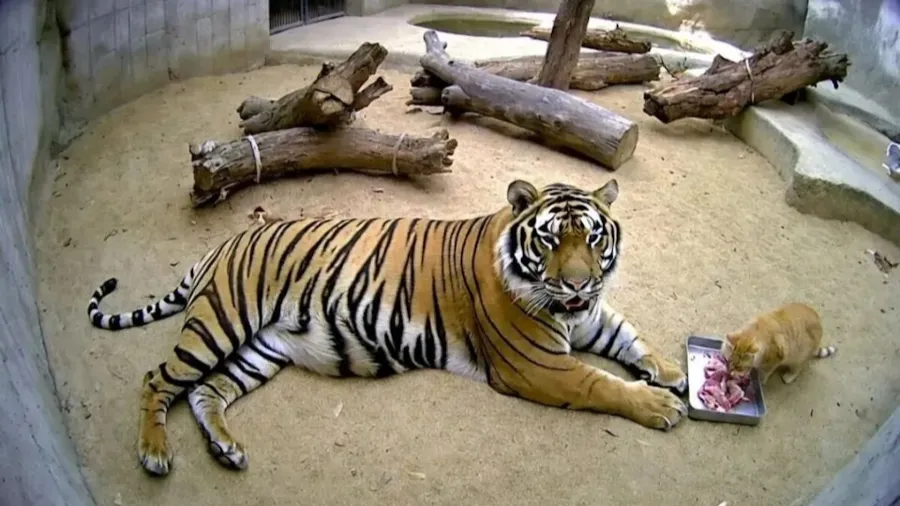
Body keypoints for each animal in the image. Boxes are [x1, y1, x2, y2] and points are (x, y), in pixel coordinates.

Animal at [87, 178, 688, 477]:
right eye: (549, 239)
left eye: (592, 237)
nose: (577, 284)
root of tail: (222, 244)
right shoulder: (538, 365)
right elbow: (599, 382)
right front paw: (660, 404)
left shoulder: (589, 318)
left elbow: (629, 335)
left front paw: (674, 372)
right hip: (220, 323)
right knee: (157, 380)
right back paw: (155, 453)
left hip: (262, 350)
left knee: (206, 392)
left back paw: (227, 448)